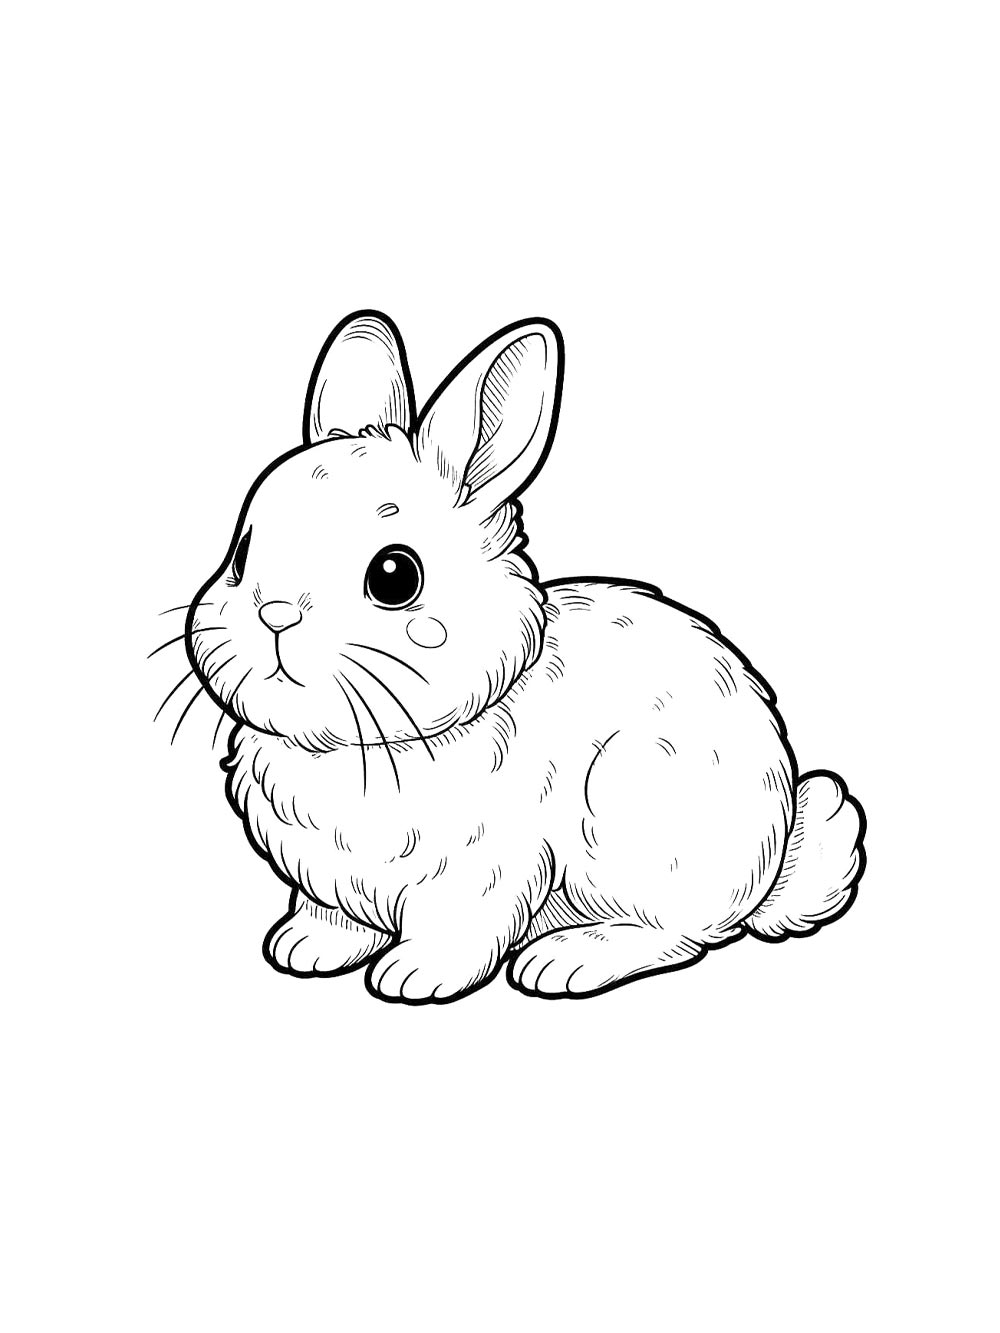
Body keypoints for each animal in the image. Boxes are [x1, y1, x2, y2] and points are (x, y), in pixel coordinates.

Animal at [182, 310, 866, 1003]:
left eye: (394, 576)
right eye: (242, 553)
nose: (276, 615)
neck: (368, 742)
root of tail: (770, 868)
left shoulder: (483, 868)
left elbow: (464, 928)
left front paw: (414, 976)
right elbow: (334, 915)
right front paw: (305, 949)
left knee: (678, 935)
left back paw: (564, 961)